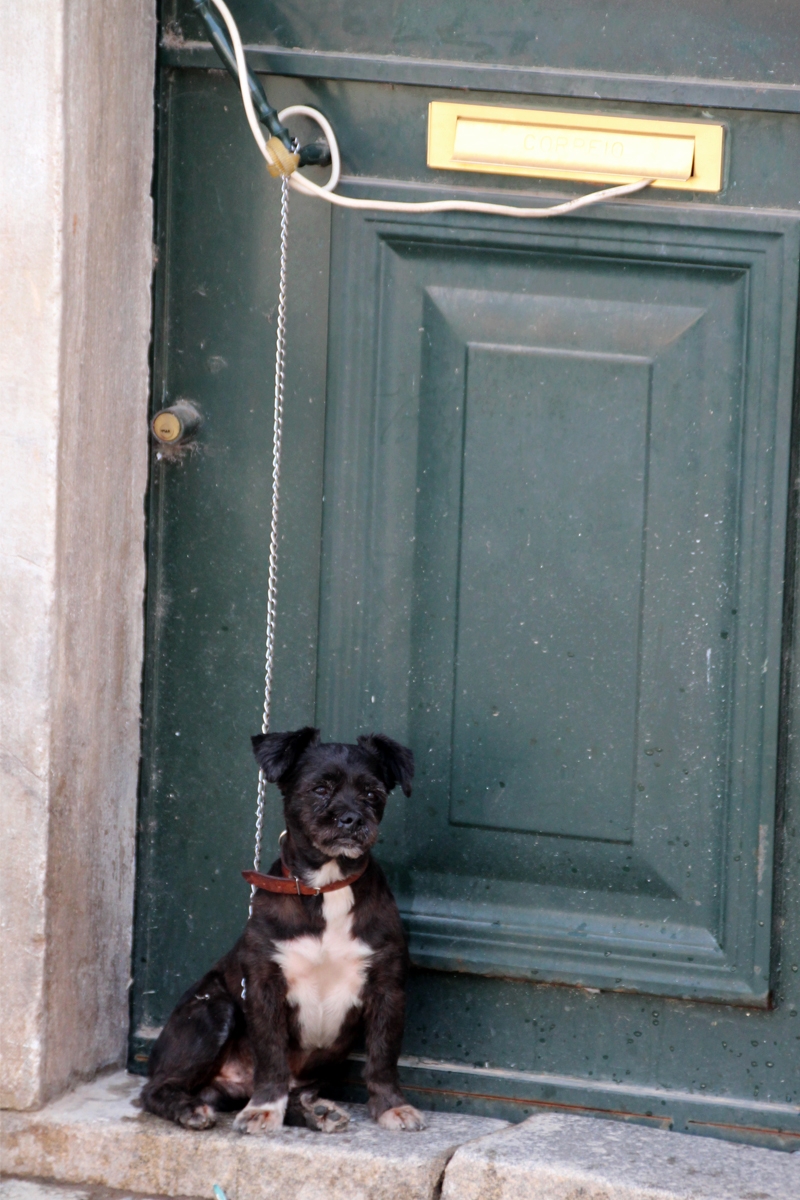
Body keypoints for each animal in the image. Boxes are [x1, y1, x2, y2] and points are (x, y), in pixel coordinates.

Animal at [141, 729, 424, 1132]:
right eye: (320, 789)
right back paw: (189, 1108)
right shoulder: (264, 987)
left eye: (372, 793)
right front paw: (264, 1107)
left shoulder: (388, 987)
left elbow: (383, 1055)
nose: (352, 819)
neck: (325, 888)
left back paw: (315, 1112)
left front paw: (391, 1106)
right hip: (214, 1010)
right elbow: (271, 1054)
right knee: (155, 1088)